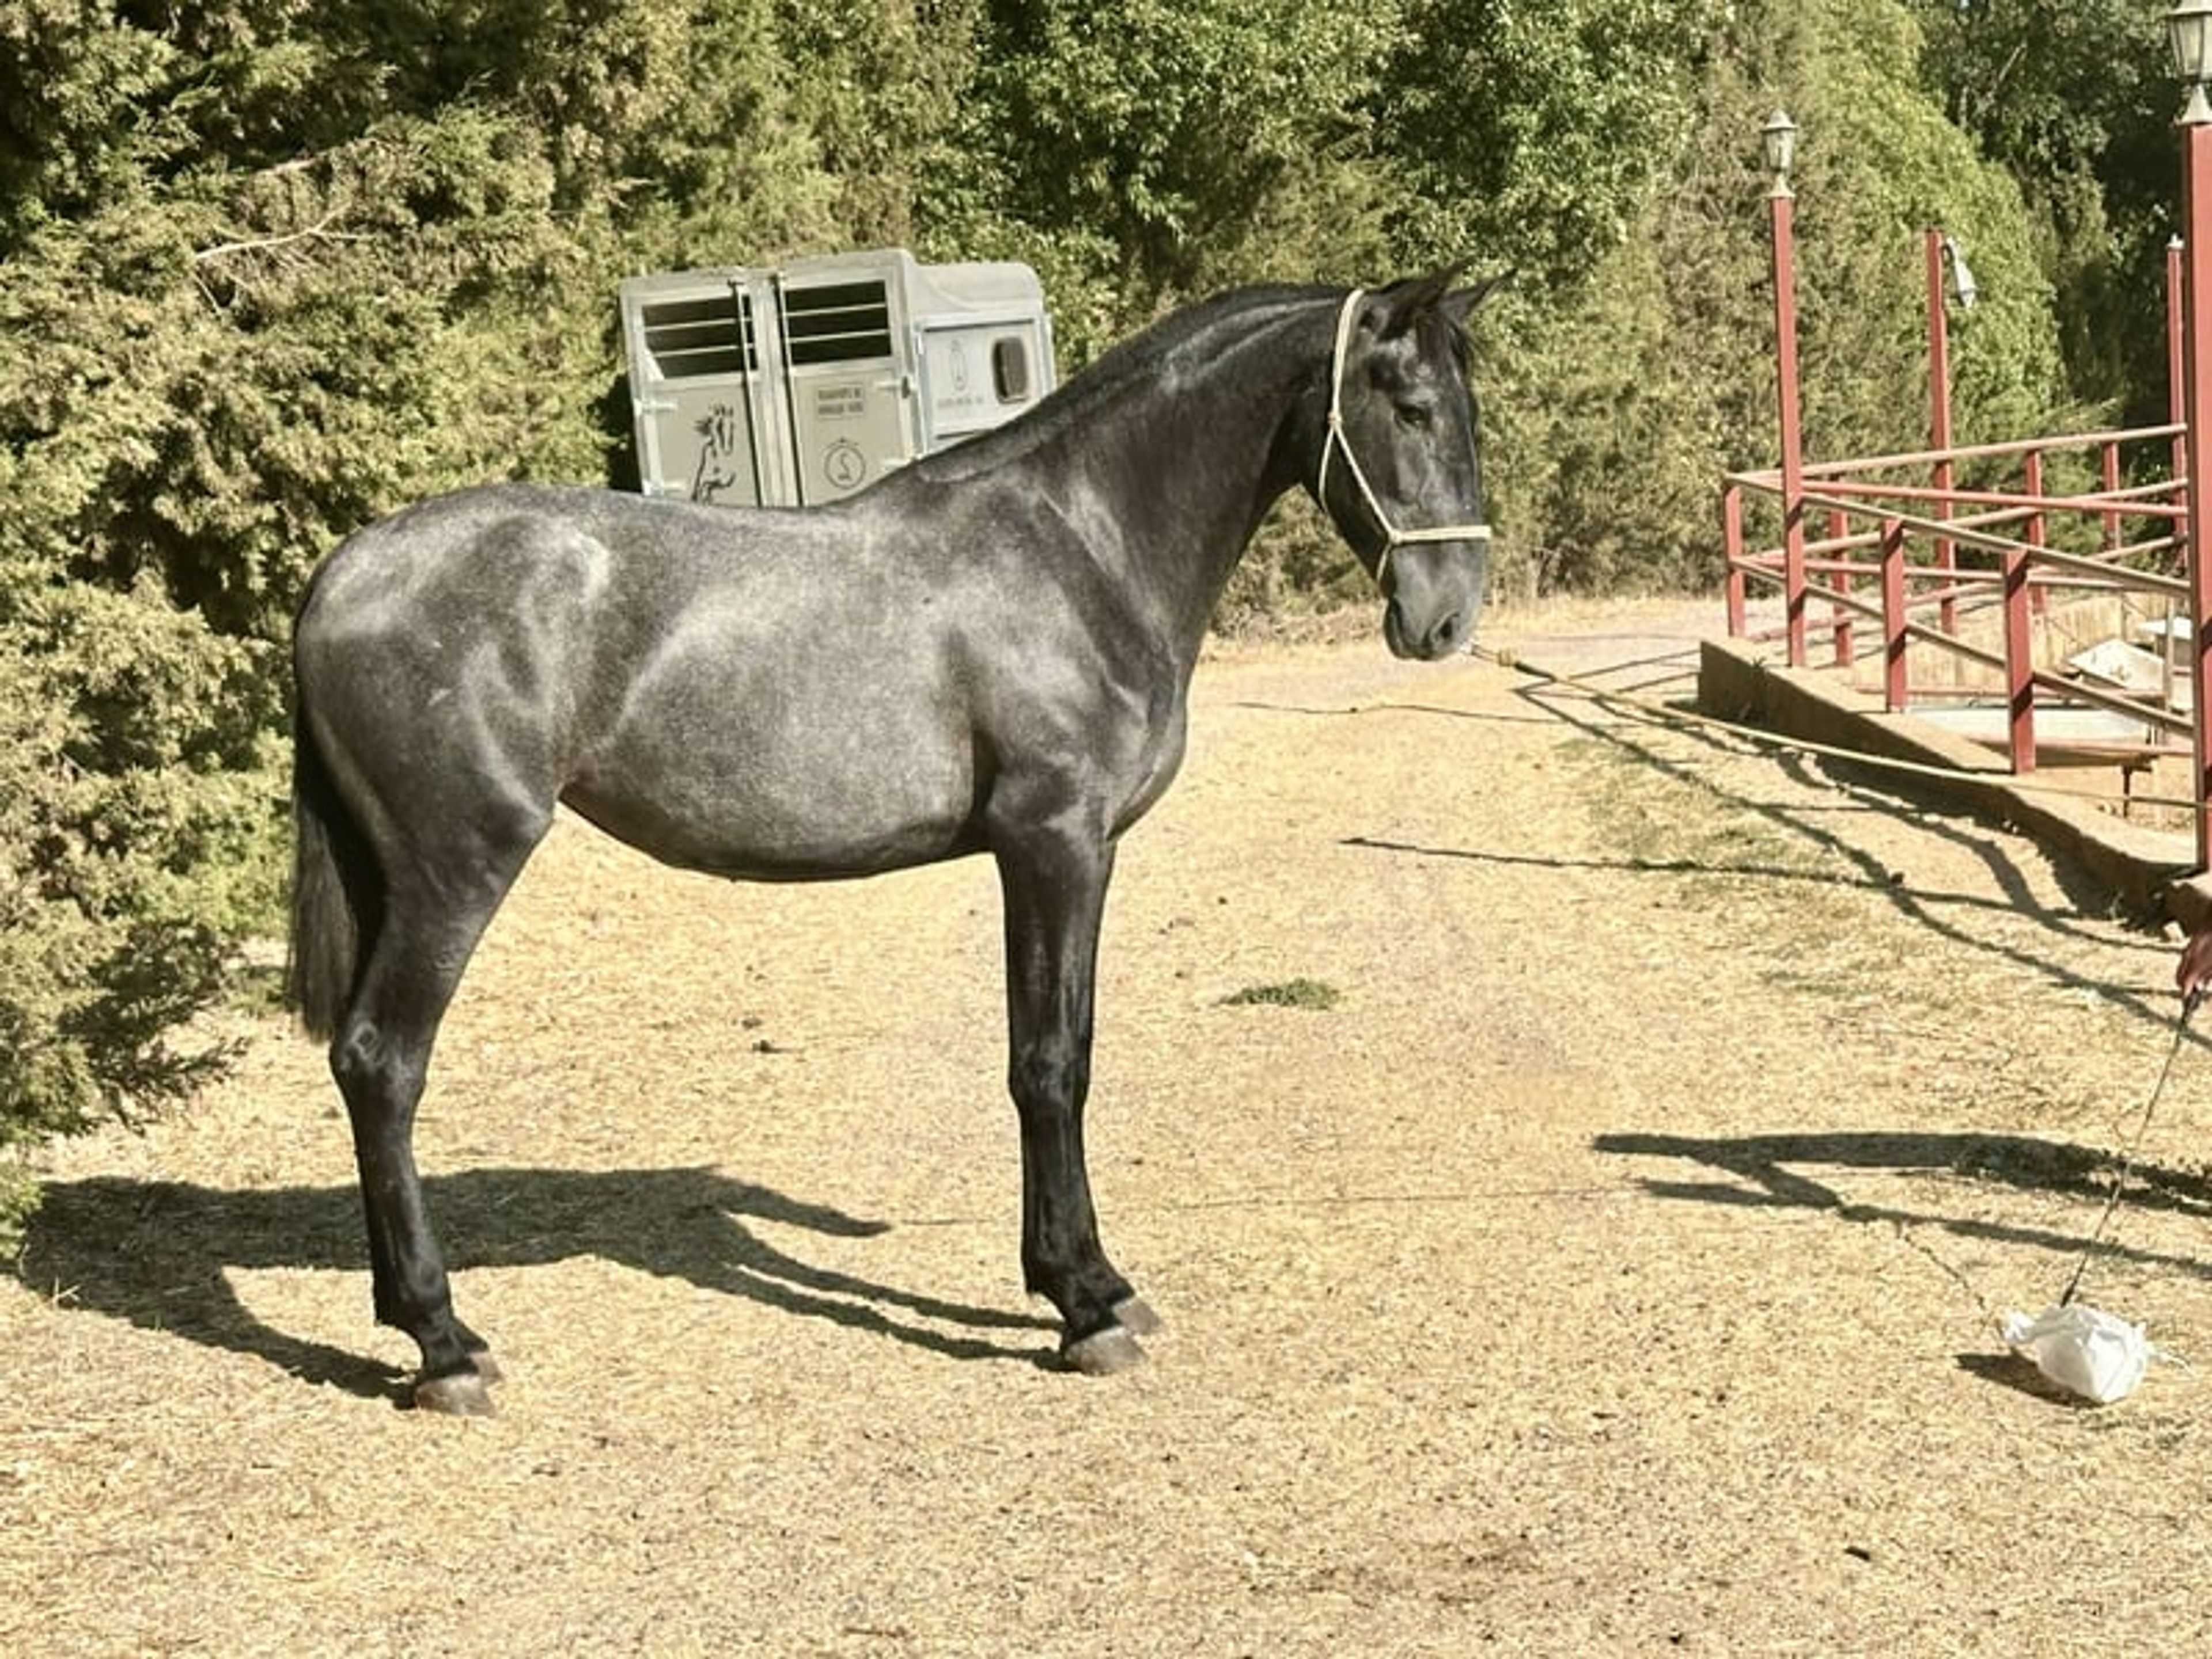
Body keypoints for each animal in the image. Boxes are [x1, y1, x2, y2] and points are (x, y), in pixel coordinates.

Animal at [288, 270, 1501, 1413]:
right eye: (1411, 405)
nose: (1447, 617)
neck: (1081, 550)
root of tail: (343, 571)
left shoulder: (1065, 855)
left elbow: (1067, 1048)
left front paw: (1089, 1283)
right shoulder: (1053, 843)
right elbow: (1048, 1066)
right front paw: (1083, 1304)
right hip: (458, 869)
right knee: (383, 1063)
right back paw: (444, 1344)